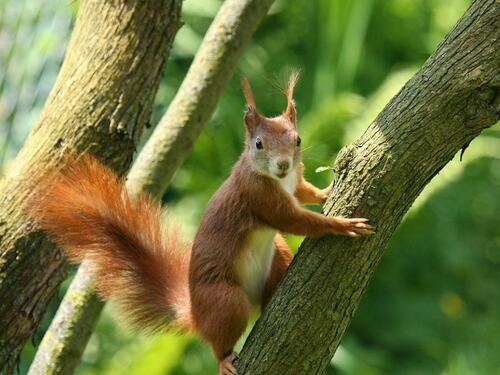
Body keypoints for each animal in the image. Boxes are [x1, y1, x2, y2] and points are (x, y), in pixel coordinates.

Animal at [28, 73, 372, 375]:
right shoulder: (258, 197)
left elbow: (304, 192)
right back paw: (224, 360)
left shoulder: (294, 182)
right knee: (220, 338)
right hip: (225, 300)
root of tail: (196, 313)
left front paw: (326, 190)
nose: (283, 164)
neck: (278, 180)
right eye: (258, 144)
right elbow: (295, 220)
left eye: (297, 139)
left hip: (277, 254)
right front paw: (341, 224)